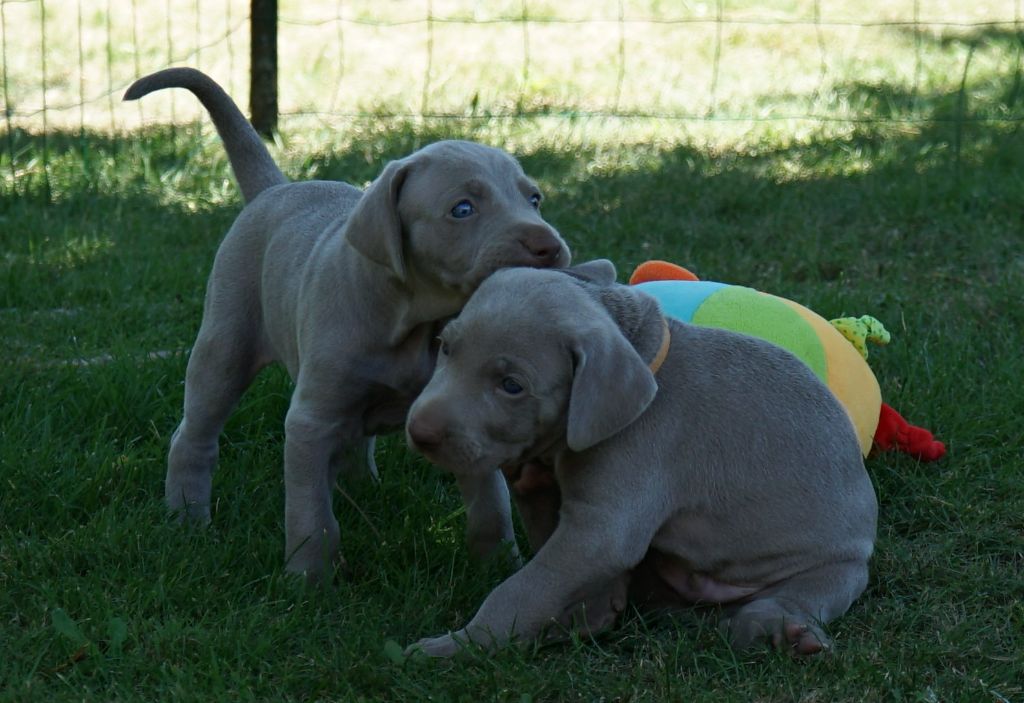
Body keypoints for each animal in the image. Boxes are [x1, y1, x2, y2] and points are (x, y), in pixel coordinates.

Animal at [124, 68, 573, 581]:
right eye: (462, 209)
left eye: (534, 199)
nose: (548, 246)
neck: (414, 320)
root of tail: (275, 188)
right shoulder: (310, 420)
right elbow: (310, 511)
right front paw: (309, 579)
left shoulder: (465, 412)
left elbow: (489, 502)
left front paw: (498, 563)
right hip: (225, 342)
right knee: (195, 433)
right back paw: (187, 518)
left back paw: (364, 492)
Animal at [407, 260, 880, 658]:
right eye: (445, 347)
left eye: (511, 385)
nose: (419, 432)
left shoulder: (607, 518)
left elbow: (523, 590)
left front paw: (454, 646)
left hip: (834, 571)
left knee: (771, 608)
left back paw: (784, 633)